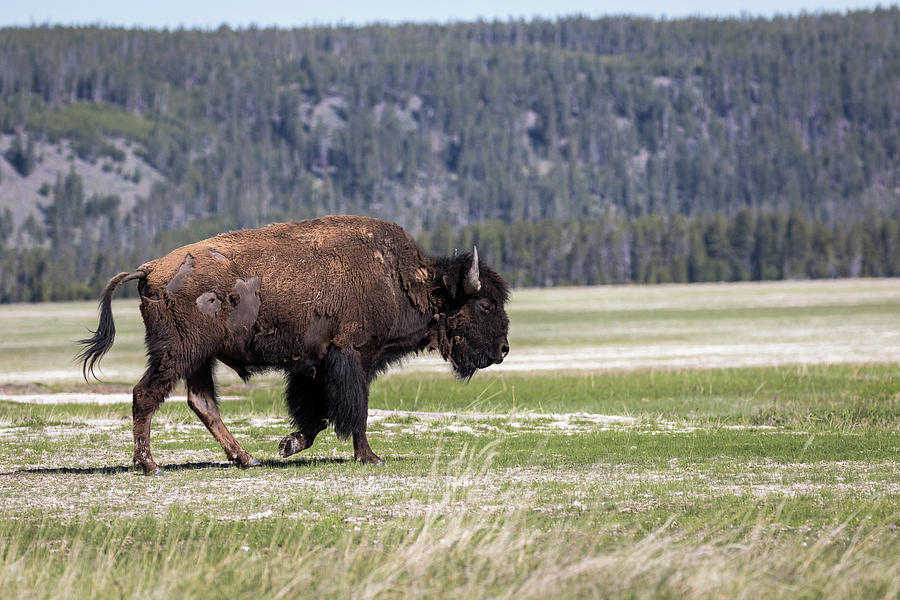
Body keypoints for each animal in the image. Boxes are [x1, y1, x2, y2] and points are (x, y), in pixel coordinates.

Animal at [77, 216, 510, 474]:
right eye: (486, 304)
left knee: (201, 402)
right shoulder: (353, 359)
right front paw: (369, 457)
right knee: (146, 394)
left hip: (200, 359)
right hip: (177, 353)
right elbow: (354, 411)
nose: (504, 349)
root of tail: (149, 269)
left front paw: (288, 444)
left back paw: (246, 458)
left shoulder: (315, 367)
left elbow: (318, 416)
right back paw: (150, 464)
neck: (405, 278)